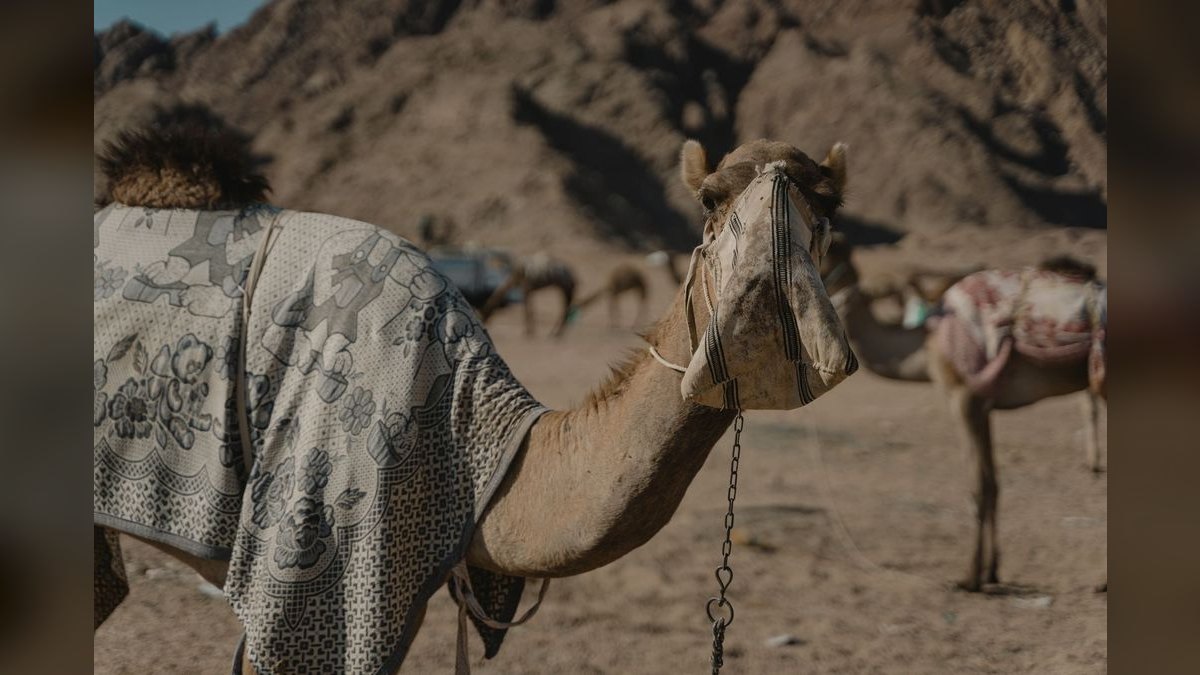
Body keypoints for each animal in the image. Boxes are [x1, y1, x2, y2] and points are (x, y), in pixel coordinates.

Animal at [820, 236, 1107, 592]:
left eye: (821, 259)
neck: (925, 345)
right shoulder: (984, 406)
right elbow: (994, 484)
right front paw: (992, 571)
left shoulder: (964, 398)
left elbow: (978, 486)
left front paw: (970, 577)